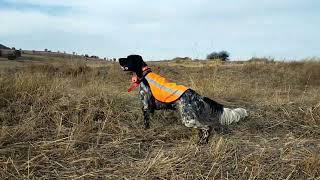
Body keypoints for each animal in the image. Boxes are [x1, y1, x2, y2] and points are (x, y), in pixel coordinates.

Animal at [119, 55, 248, 145]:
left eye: (128, 58)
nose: (119, 59)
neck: (144, 74)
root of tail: (198, 96)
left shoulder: (145, 105)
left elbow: (146, 122)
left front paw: (145, 131)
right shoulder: (150, 108)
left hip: (188, 119)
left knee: (207, 127)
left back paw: (202, 143)